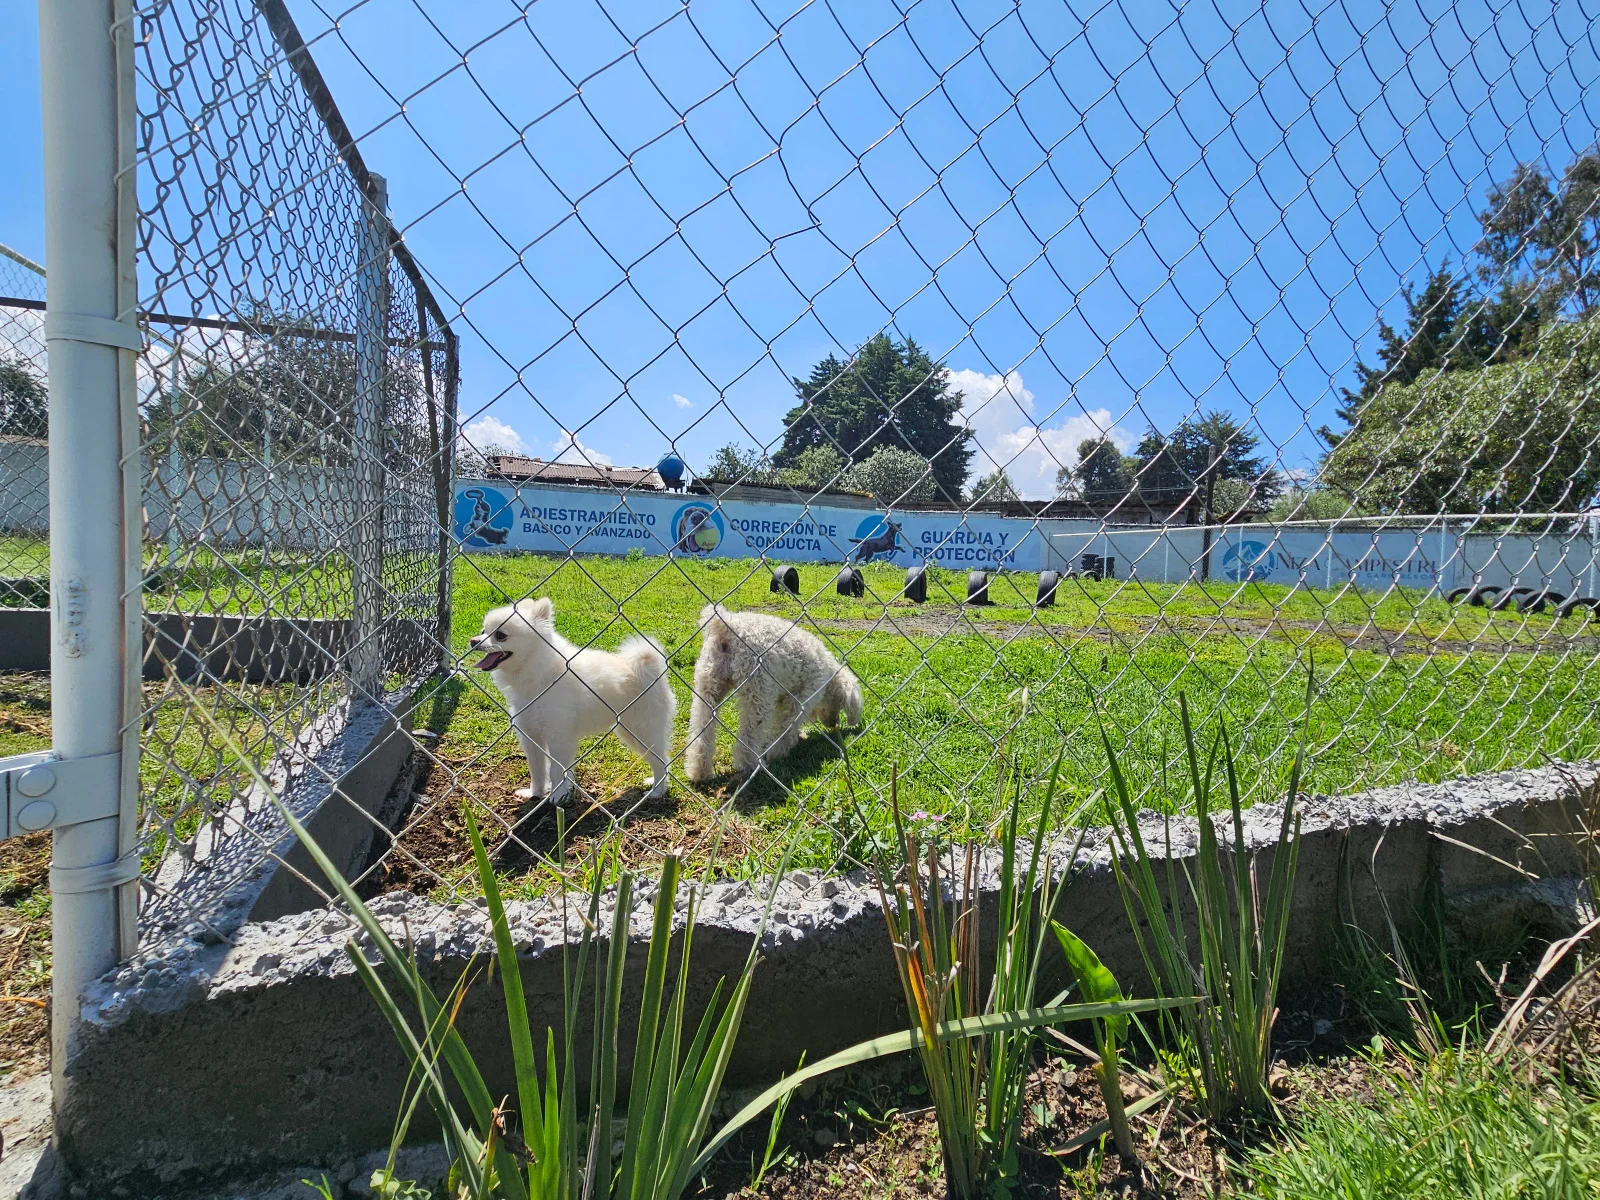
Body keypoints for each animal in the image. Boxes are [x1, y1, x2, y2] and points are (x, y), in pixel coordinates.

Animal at [470, 601, 678, 809]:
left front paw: (558, 795)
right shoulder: (531, 736)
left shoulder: (559, 738)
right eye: (483, 630)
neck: (539, 671)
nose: (473, 641)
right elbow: (537, 769)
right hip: (629, 732)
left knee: (662, 761)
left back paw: (657, 791)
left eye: (500, 635)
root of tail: (650, 668)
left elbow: (556, 770)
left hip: (643, 730)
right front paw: (535, 793)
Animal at [684, 604, 864, 784]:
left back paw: (698, 771)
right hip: (758, 692)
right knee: (749, 735)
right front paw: (778, 753)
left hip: (708, 686)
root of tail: (728, 626)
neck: (829, 675)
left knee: (701, 731)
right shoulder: (802, 697)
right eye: (840, 703)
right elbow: (787, 726)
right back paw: (750, 765)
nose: (834, 723)